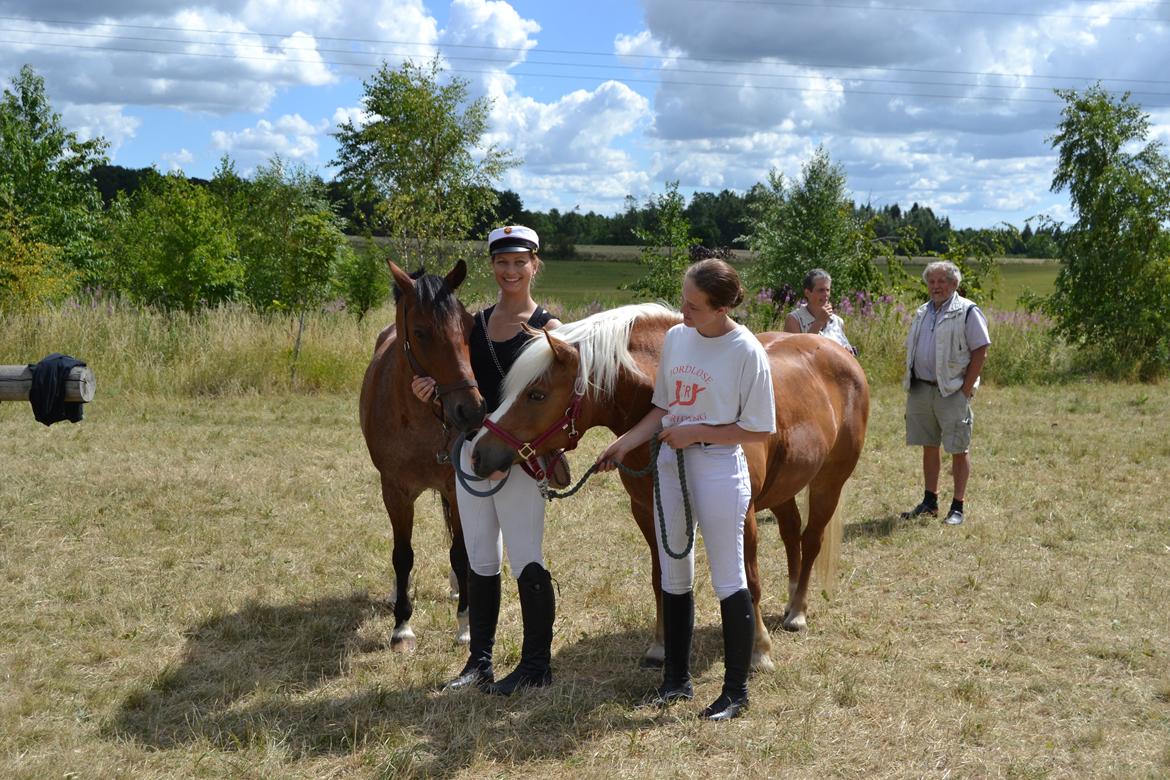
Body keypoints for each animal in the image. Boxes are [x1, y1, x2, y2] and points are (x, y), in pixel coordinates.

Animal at [355, 260, 484, 654]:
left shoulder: (456, 488)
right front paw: (402, 627)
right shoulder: (395, 492)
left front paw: (465, 626)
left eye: (469, 326)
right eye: (421, 332)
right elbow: (403, 554)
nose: (471, 410)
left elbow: (460, 553)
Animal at [465, 304, 870, 673]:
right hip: (783, 487)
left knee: (811, 538)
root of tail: (838, 353)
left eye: (536, 394)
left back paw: (798, 611)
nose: (479, 453)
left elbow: (749, 579)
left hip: (828, 483)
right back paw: (789, 602)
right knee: (791, 532)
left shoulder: (743, 515)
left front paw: (759, 651)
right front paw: (661, 646)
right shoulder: (647, 511)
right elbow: (662, 578)